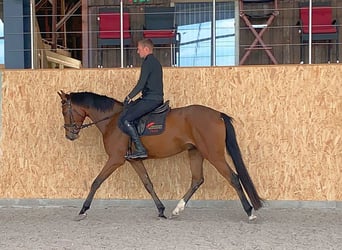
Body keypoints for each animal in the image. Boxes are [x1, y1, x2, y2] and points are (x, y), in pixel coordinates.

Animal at [57, 90, 264, 221]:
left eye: (65, 110)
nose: (70, 135)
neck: (113, 120)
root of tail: (218, 114)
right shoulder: (134, 161)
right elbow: (148, 183)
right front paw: (161, 210)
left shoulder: (115, 159)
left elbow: (96, 182)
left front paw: (83, 210)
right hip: (195, 152)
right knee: (197, 180)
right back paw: (176, 210)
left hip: (213, 154)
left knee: (233, 178)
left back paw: (250, 212)